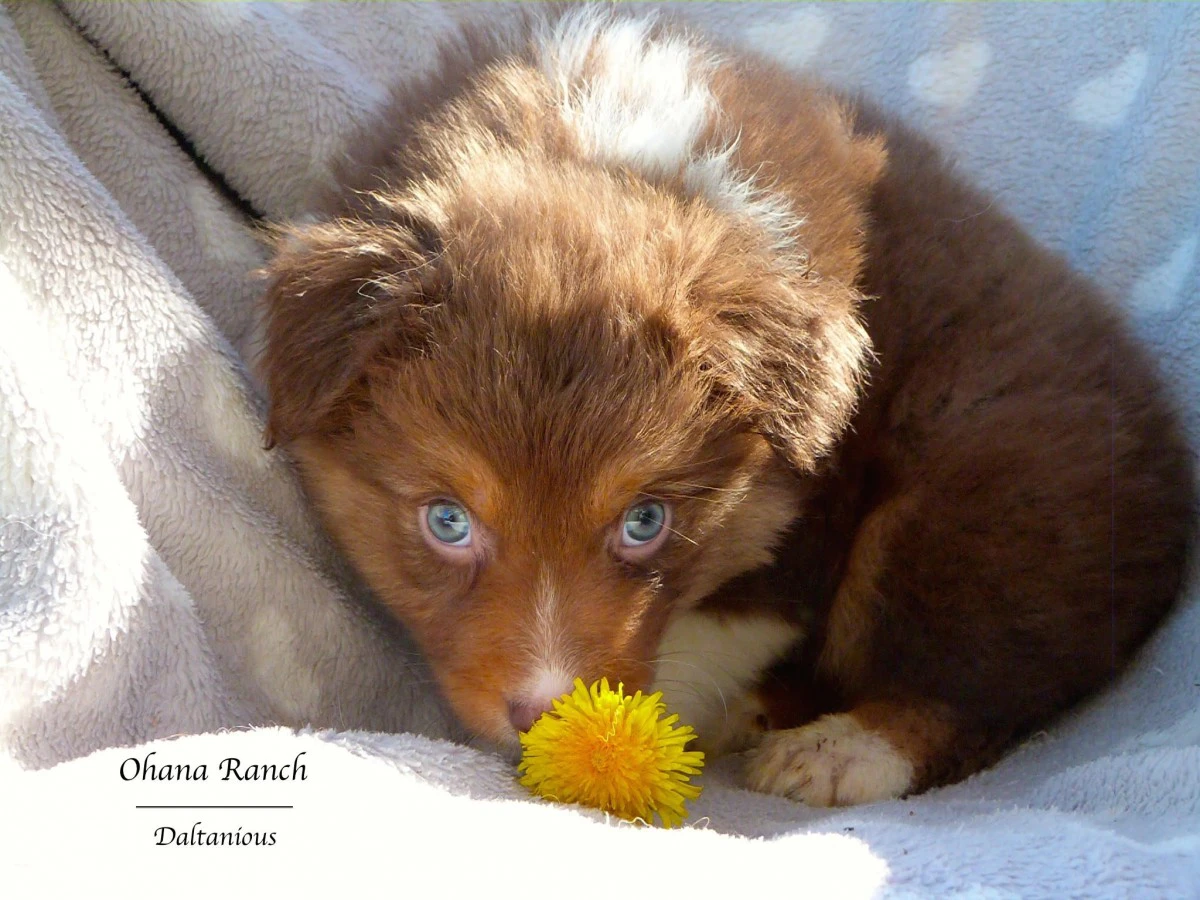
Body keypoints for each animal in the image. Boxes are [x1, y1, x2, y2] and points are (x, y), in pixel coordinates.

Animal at [258, 5, 1195, 811]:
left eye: (646, 522)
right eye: (447, 522)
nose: (548, 712)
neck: (605, 154)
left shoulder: (813, 514)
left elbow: (743, 623)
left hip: (981, 478)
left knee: (981, 680)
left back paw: (835, 751)